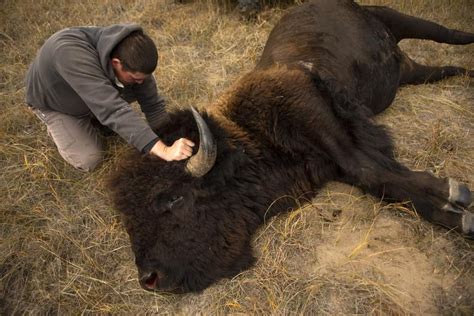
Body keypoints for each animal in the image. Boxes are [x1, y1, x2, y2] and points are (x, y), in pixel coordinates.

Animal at [108, 0, 474, 294]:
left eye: (174, 198)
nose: (150, 279)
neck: (250, 135)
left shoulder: (322, 122)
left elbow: (371, 169)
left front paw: (457, 200)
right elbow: (378, 178)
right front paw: (454, 205)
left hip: (397, 18)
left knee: (449, 33)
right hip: (407, 71)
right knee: (438, 68)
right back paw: (463, 71)